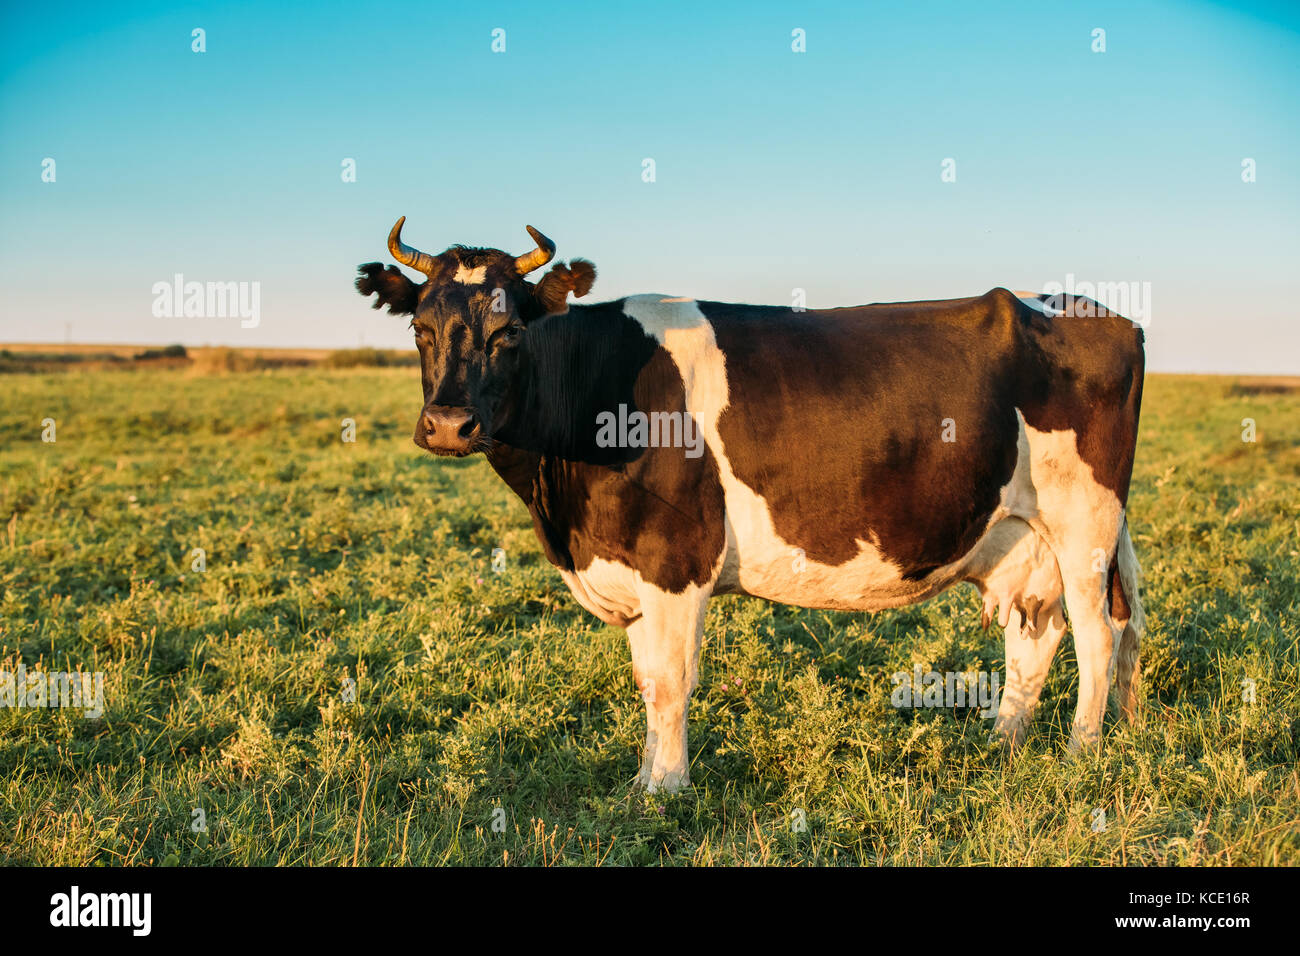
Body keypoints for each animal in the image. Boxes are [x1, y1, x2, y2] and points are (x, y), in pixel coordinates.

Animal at [356, 217, 1147, 793]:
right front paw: (642, 781)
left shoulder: (675, 560)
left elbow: (671, 681)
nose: (448, 425)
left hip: (1085, 522)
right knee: (1036, 634)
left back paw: (1080, 755)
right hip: (1021, 533)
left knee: (1096, 633)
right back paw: (1002, 744)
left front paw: (666, 789)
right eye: (419, 328)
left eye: (509, 330)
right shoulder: (632, 570)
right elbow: (646, 680)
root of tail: (1090, 309)